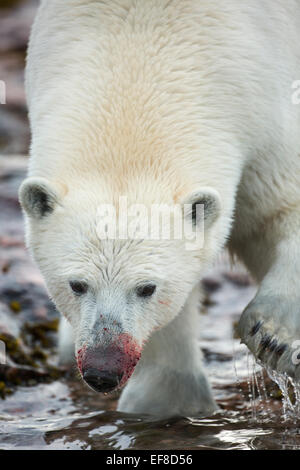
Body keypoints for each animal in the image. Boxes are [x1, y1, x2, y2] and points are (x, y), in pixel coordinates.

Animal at [18, 0, 300, 418]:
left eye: (147, 288)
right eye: (76, 284)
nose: (103, 369)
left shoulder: (265, 115)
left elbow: (280, 208)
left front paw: (273, 337)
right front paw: (166, 400)